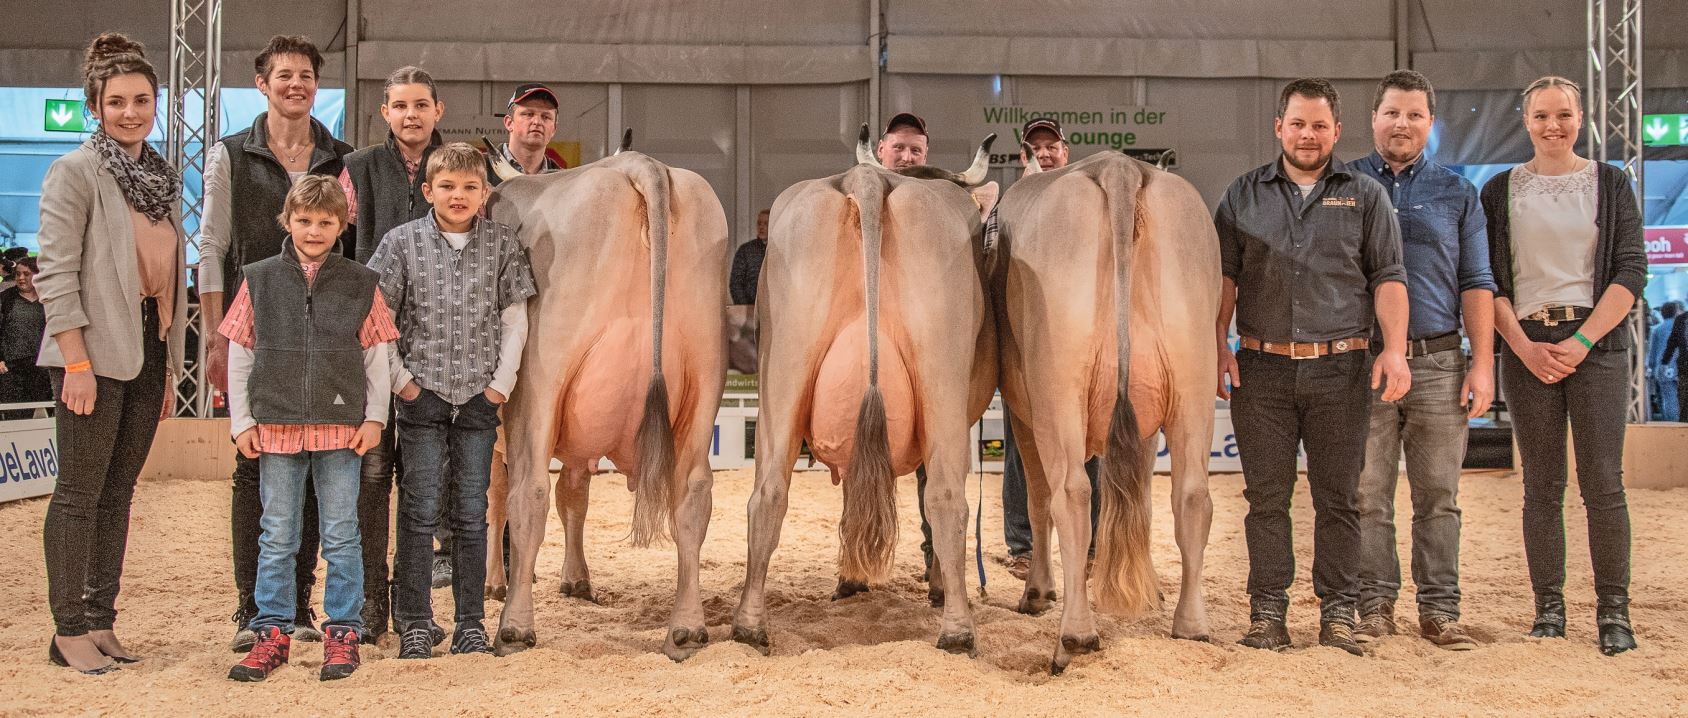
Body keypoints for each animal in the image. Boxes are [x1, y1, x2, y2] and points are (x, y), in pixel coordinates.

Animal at [729, 128, 992, 655]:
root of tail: (867, 181)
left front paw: (849, 580)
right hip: (942, 384)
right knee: (947, 497)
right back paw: (957, 630)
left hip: (782, 376)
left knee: (768, 493)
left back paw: (749, 626)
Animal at [992, 149, 1222, 672]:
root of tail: (1119, 168)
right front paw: (1152, 591)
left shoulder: (1022, 411)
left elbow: (1038, 499)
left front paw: (1038, 592)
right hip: (1195, 382)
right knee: (1191, 494)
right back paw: (1191, 624)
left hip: (1059, 391)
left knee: (1069, 493)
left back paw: (1073, 636)